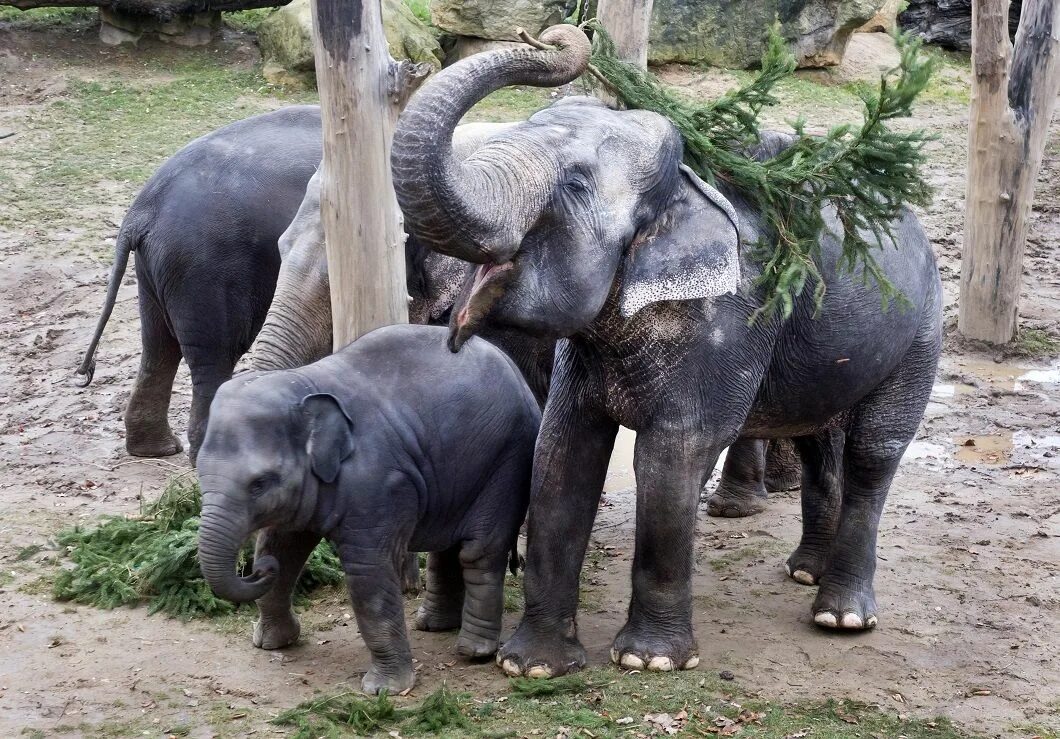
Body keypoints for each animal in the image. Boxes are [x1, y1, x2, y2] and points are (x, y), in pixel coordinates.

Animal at [195, 322, 538, 691]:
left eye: (259, 483)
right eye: (199, 470)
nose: (256, 570)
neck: (303, 382)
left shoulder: (379, 483)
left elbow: (368, 572)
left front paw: (384, 689)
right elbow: (282, 549)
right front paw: (271, 643)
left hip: (507, 463)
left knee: (478, 552)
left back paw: (473, 651)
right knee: (448, 547)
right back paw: (433, 625)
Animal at [390, 25, 945, 678]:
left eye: (573, 186)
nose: (556, 34)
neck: (683, 182)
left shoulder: (731, 317)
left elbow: (674, 452)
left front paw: (647, 661)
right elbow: (561, 451)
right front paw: (532, 666)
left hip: (923, 328)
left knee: (873, 450)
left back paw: (842, 617)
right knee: (819, 440)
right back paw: (805, 573)